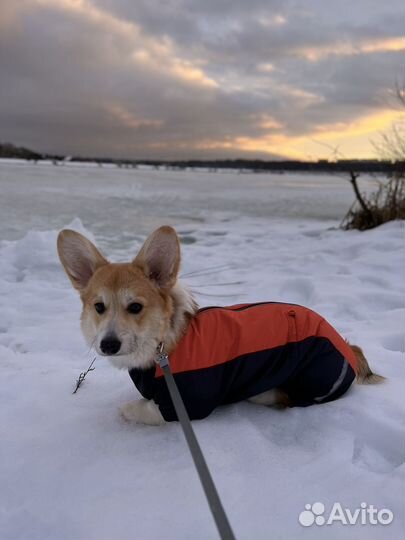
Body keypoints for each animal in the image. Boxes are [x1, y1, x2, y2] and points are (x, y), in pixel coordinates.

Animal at [56, 226, 382, 424]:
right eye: (99, 307)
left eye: (135, 307)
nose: (108, 344)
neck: (164, 344)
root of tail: (348, 348)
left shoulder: (187, 403)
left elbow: (143, 410)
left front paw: (128, 409)